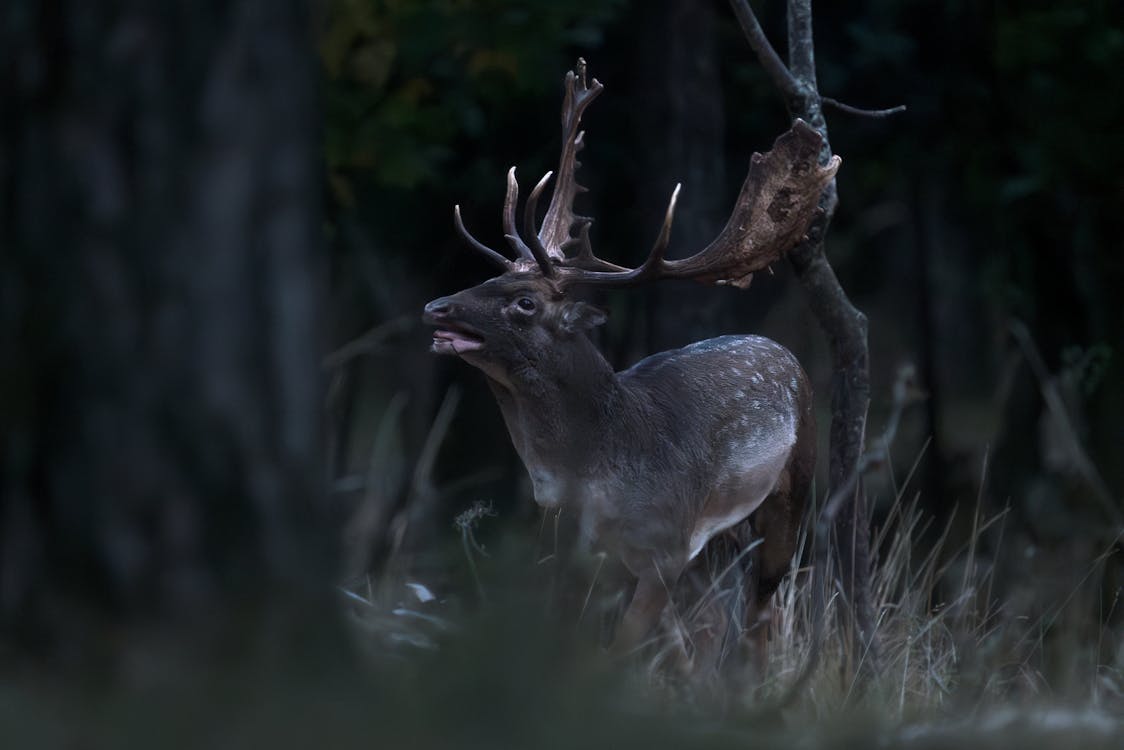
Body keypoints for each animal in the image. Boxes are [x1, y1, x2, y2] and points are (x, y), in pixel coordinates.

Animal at [422, 62, 836, 674]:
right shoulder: (566, 543)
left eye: (524, 301)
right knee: (713, 627)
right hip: (712, 543)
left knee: (758, 618)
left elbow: (616, 656)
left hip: (793, 489)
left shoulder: (664, 547)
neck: (592, 471)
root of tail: (786, 354)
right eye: (489, 278)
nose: (437, 307)